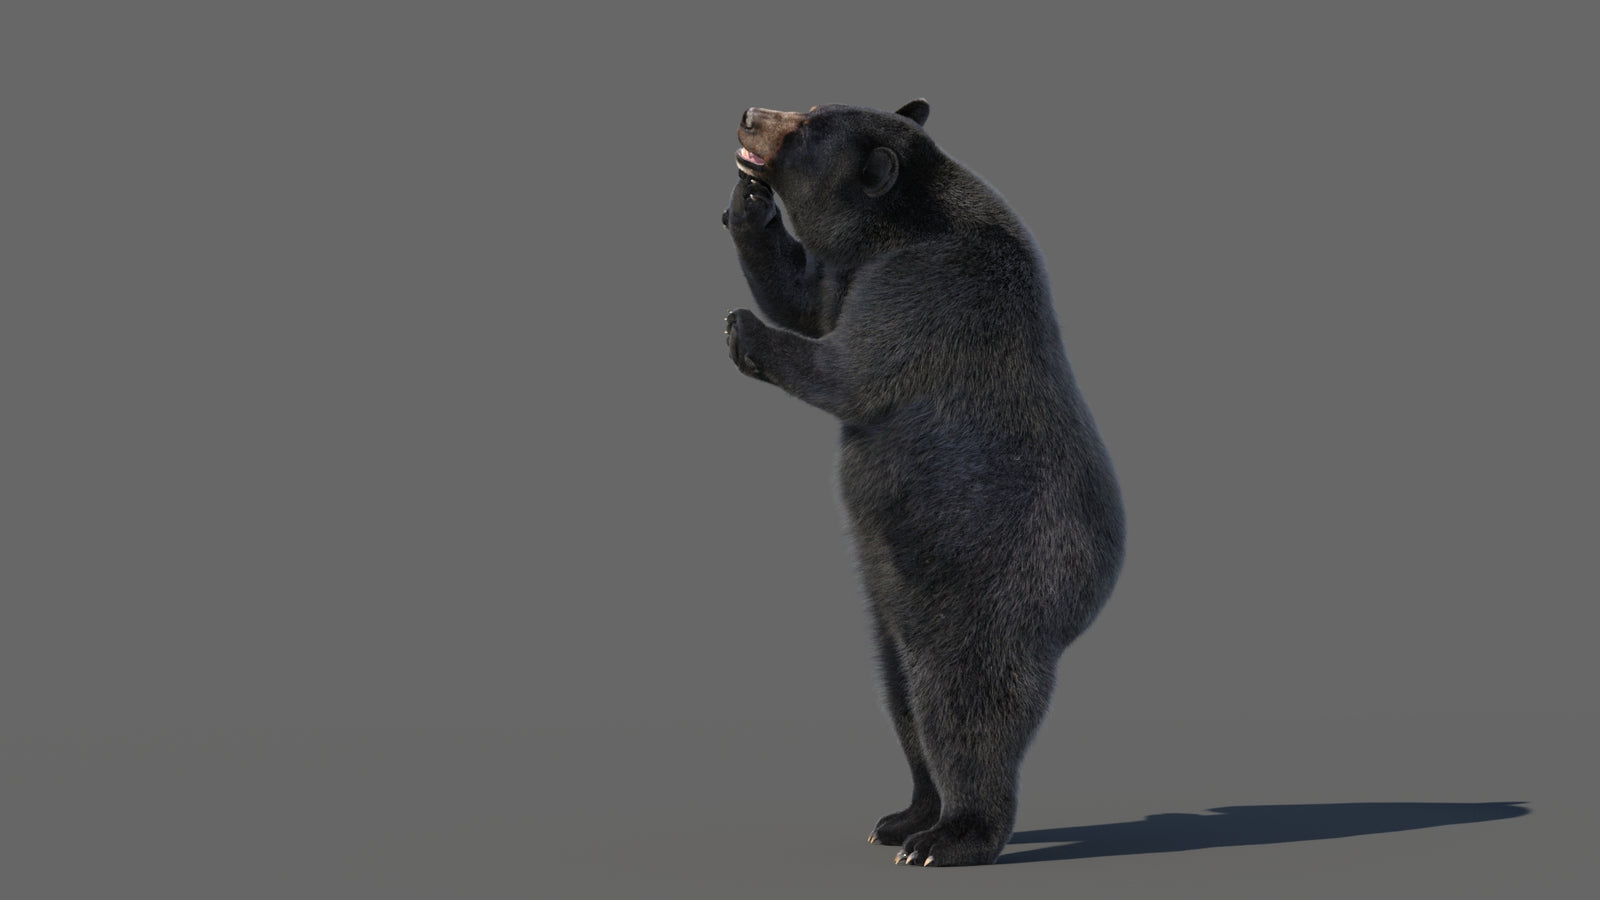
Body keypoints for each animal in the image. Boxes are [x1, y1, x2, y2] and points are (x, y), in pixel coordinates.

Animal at [721, 100, 1125, 867]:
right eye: (807, 108)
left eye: (809, 127)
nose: (752, 114)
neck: (898, 225)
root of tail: (1092, 596)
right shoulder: (852, 271)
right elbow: (809, 299)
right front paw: (747, 203)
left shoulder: (927, 287)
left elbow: (851, 369)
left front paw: (743, 328)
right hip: (892, 600)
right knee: (900, 693)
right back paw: (904, 816)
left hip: (987, 590)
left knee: (961, 706)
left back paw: (951, 836)